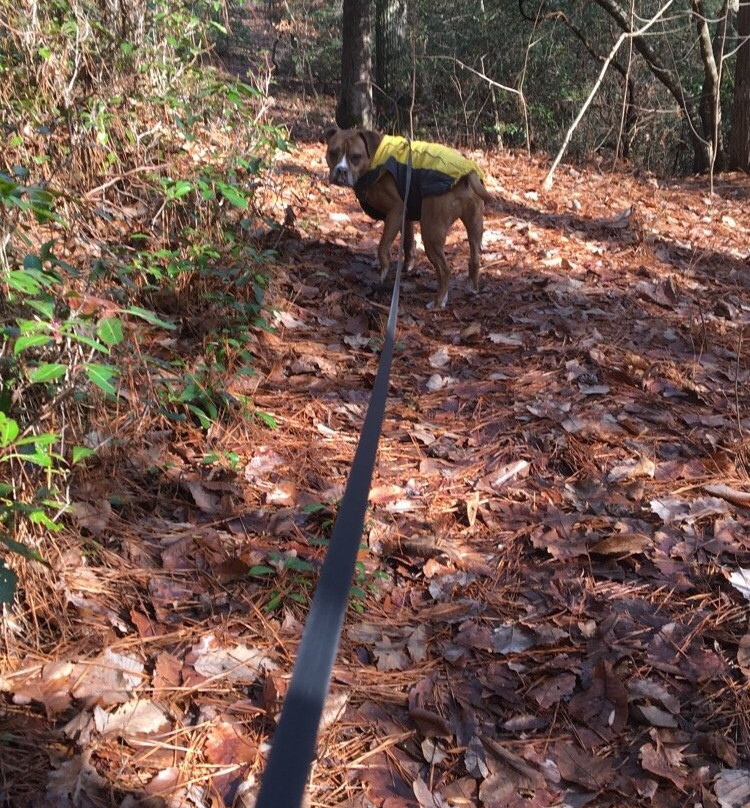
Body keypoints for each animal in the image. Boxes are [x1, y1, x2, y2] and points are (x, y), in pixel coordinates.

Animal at [324, 128, 494, 308]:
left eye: (356, 156)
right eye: (333, 152)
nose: (341, 171)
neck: (374, 158)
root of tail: (466, 173)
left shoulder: (396, 211)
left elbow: (382, 246)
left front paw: (384, 270)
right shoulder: (405, 215)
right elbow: (408, 241)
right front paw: (407, 265)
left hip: (431, 232)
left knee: (445, 270)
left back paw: (438, 302)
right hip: (475, 225)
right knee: (475, 258)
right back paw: (472, 287)